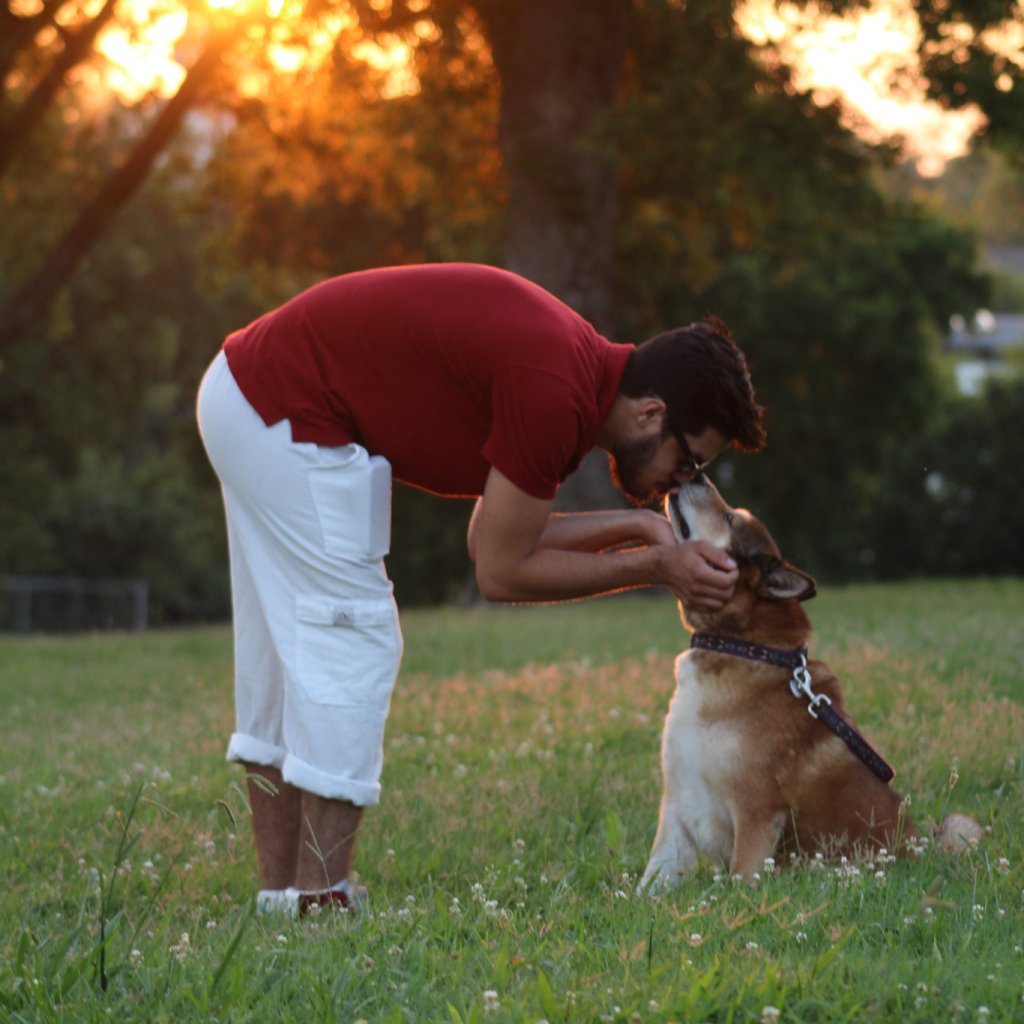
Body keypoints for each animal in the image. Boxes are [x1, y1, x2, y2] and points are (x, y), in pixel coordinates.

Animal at [634, 475, 978, 892]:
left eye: (729, 517)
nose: (697, 475)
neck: (741, 647)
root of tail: (922, 851)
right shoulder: (677, 810)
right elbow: (650, 881)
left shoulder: (756, 811)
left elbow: (740, 880)